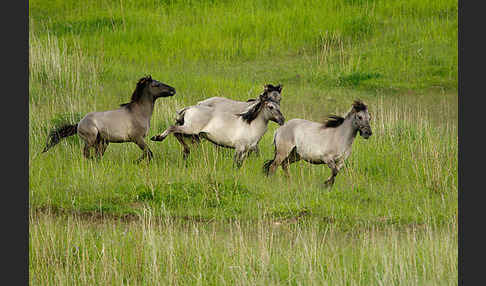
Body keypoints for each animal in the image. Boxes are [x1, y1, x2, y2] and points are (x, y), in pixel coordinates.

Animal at [41, 75, 175, 162]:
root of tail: (79, 123)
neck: (139, 113)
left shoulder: (139, 139)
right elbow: (149, 153)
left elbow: (147, 153)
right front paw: (135, 162)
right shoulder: (137, 138)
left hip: (102, 142)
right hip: (91, 140)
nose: (173, 89)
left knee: (97, 156)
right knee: (86, 153)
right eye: (156, 84)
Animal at [148, 91, 284, 168]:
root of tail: (190, 108)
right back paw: (157, 137)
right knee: (172, 128)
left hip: (189, 130)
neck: (250, 125)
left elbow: (240, 164)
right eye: (271, 107)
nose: (282, 120)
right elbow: (235, 164)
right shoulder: (239, 148)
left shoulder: (246, 151)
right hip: (190, 129)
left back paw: (185, 152)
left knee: (177, 134)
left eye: (279, 105)